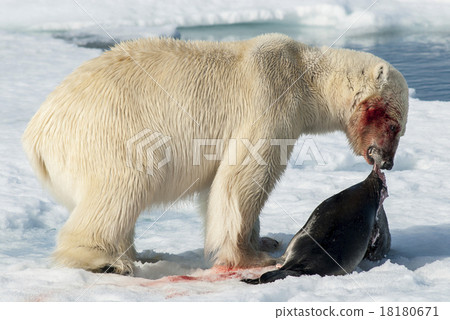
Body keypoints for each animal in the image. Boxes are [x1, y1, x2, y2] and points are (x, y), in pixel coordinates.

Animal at [22, 33, 408, 276]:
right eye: (393, 125)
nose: (387, 162)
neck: (304, 75)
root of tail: (36, 134)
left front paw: (264, 239)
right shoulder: (270, 97)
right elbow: (243, 177)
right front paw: (252, 256)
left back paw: (140, 253)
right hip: (109, 134)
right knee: (122, 187)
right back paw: (106, 261)